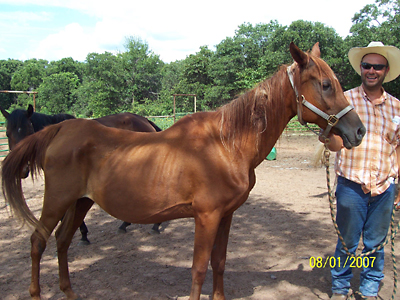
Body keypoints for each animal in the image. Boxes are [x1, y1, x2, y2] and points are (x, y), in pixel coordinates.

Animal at [1, 104, 162, 243]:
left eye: (28, 130)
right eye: (7, 134)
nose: (22, 170)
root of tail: (143, 120)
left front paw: (83, 235)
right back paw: (126, 224)